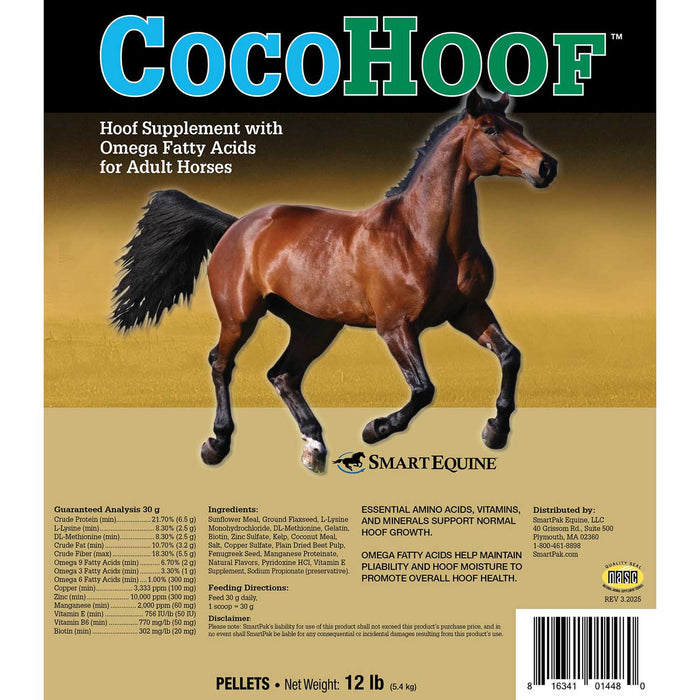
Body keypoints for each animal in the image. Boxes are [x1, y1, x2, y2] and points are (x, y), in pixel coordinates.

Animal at [111, 90, 557, 473]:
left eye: (518, 127)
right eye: (491, 129)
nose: (546, 167)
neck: (423, 236)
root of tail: (237, 226)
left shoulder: (469, 312)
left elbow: (510, 356)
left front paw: (495, 432)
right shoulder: (396, 327)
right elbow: (423, 389)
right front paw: (375, 429)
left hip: (315, 326)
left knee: (283, 375)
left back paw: (314, 447)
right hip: (240, 318)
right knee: (221, 363)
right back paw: (217, 445)